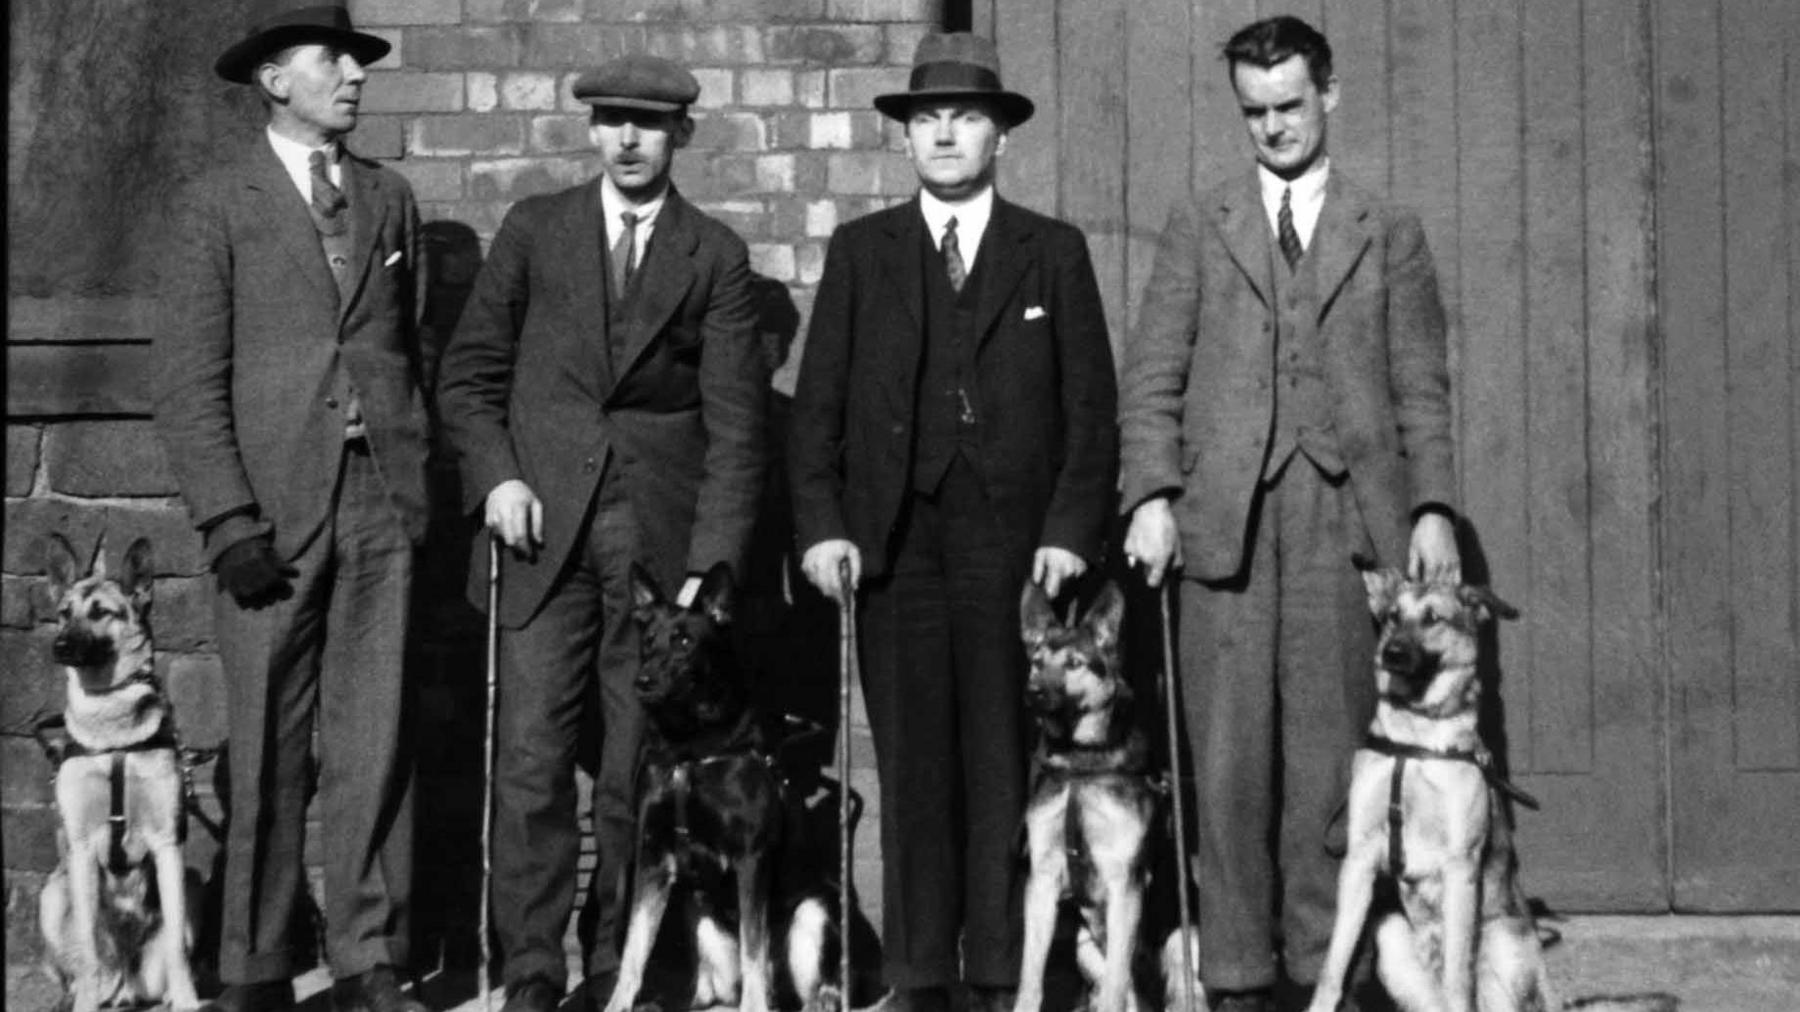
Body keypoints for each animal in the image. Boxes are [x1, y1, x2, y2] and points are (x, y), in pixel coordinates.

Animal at [34, 533, 204, 1001]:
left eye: (101, 613)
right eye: (63, 614)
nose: (59, 646)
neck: (113, 740)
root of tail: (126, 980)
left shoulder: (168, 844)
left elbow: (178, 954)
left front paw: (188, 1002)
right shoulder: (80, 848)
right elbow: (88, 947)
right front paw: (85, 1000)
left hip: (189, 889)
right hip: (52, 892)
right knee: (80, 968)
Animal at [597, 558, 835, 1008]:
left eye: (684, 641)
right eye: (648, 641)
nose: (643, 681)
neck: (688, 749)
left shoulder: (751, 858)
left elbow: (754, 949)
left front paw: (755, 1005)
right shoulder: (652, 857)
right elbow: (634, 950)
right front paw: (618, 1003)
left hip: (812, 914)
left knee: (807, 985)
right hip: (703, 924)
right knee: (712, 985)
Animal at [1022, 579, 1202, 1008]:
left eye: (1074, 664)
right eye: (1036, 662)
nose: (1033, 692)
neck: (1080, 764)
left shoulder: (1125, 885)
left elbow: (1118, 984)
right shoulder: (1042, 880)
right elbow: (1030, 979)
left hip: (1185, 949)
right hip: (1086, 949)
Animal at [1310, 558, 1670, 1008]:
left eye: (1433, 619)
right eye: (1393, 617)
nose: (1391, 652)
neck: (1416, 738)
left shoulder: (1460, 863)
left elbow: (1457, 976)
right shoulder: (1359, 858)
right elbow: (1334, 964)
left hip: (1505, 945)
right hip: (1393, 940)